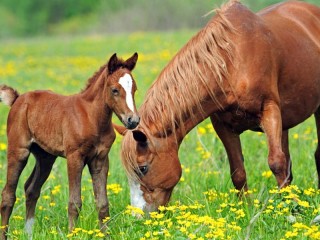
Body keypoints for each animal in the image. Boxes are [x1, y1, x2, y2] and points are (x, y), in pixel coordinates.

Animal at [0, 52, 139, 238]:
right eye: (115, 90)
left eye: (134, 89)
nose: (133, 120)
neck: (91, 117)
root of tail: (18, 99)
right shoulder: (75, 157)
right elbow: (74, 203)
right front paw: (72, 233)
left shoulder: (100, 159)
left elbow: (103, 203)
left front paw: (106, 235)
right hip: (18, 151)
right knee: (8, 195)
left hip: (45, 157)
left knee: (31, 189)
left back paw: (28, 234)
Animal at [117, 0, 320, 213]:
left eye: (143, 168)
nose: (138, 215)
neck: (232, 62)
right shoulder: (223, 126)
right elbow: (238, 171)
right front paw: (245, 209)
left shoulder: (269, 110)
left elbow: (276, 162)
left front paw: (290, 208)